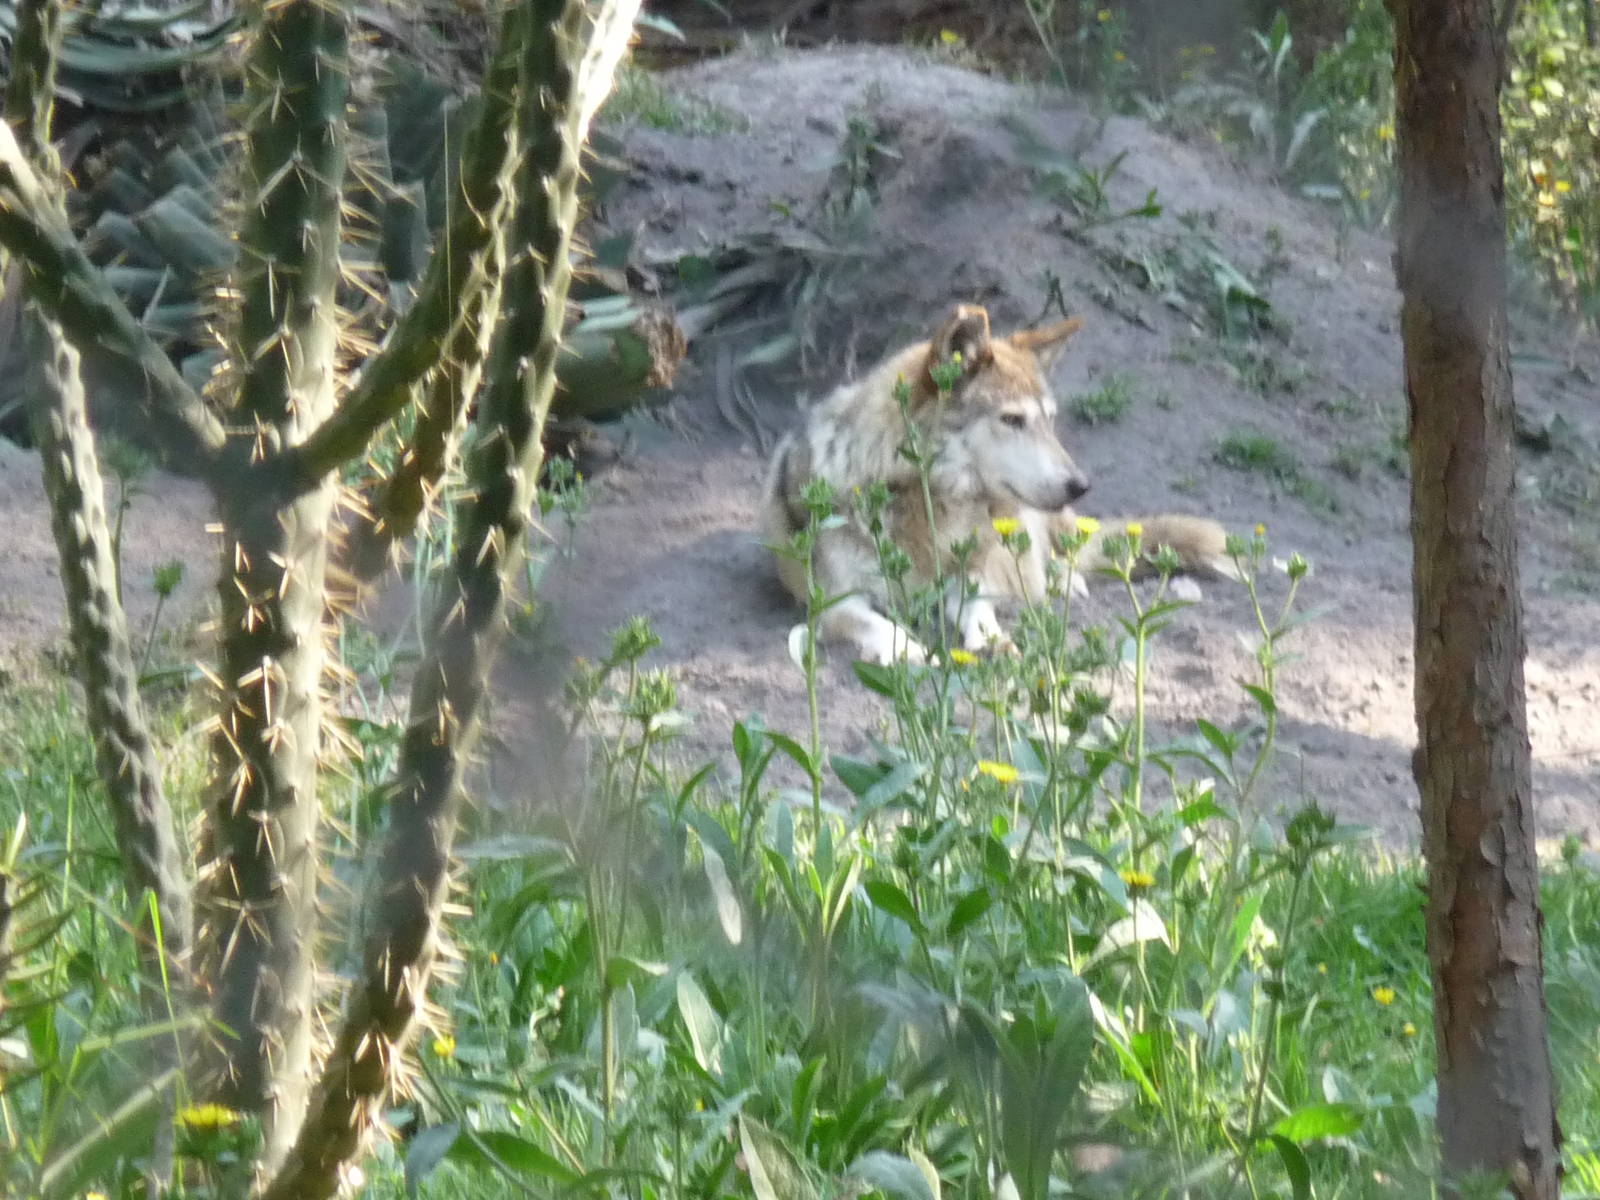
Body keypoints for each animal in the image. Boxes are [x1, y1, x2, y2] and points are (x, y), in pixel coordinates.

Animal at [761, 303, 1233, 664]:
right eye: (1012, 420)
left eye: (1049, 419)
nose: (1081, 485)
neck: (927, 504)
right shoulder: (833, 603)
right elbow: (880, 625)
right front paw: (911, 652)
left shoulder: (971, 578)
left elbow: (979, 611)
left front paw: (993, 641)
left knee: (1062, 554)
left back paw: (1066, 581)